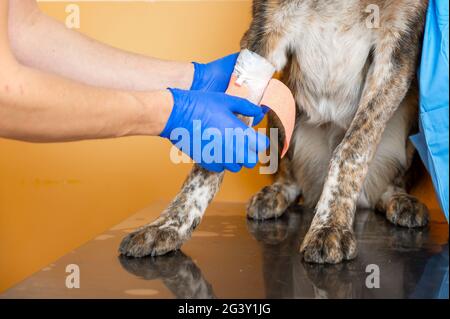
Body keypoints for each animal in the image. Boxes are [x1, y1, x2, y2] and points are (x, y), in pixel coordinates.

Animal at [119, 0, 428, 264]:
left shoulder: (397, 45)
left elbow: (353, 147)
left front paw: (330, 225)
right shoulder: (264, 36)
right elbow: (215, 149)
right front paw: (168, 225)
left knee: (390, 181)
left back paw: (399, 200)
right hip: (283, 103)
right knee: (290, 177)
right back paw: (274, 194)